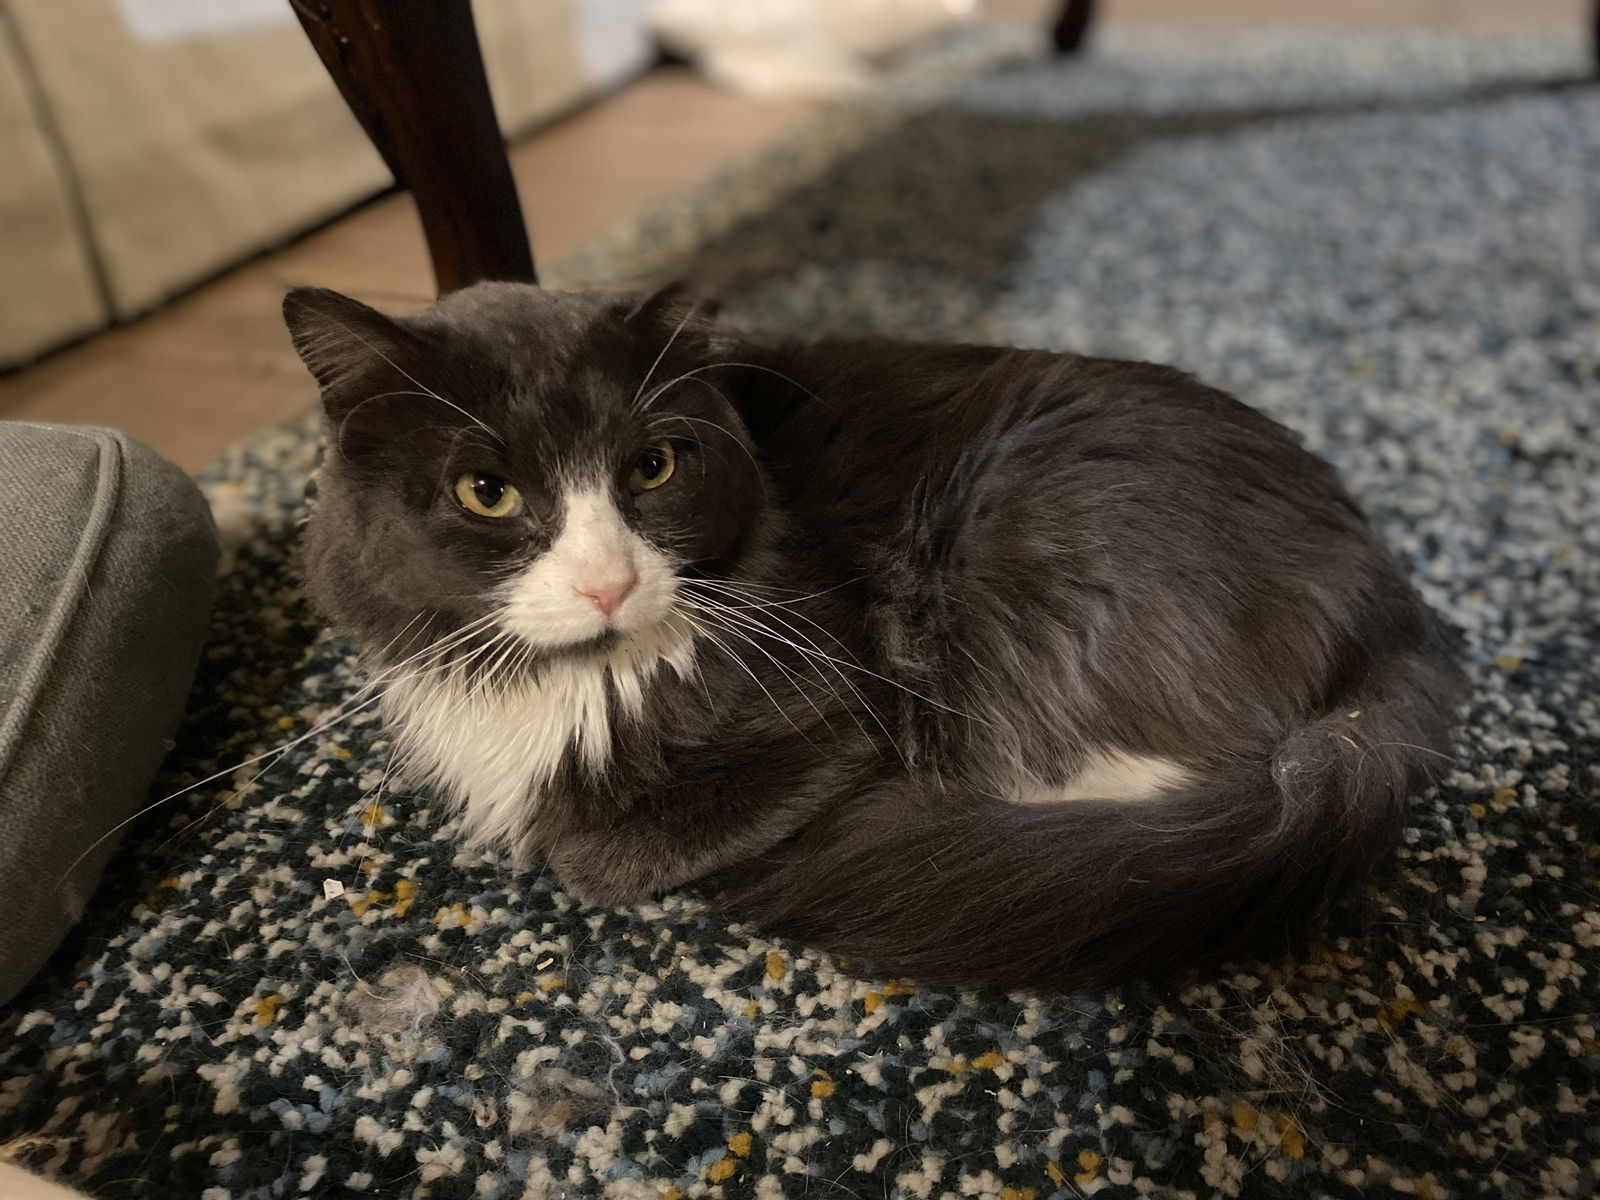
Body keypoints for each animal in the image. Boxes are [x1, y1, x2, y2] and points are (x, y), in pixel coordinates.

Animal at [284, 284, 1465, 998]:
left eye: (652, 469)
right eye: (486, 493)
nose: (609, 582)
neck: (573, 681)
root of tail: (1394, 601)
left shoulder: (830, 719)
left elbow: (598, 849)